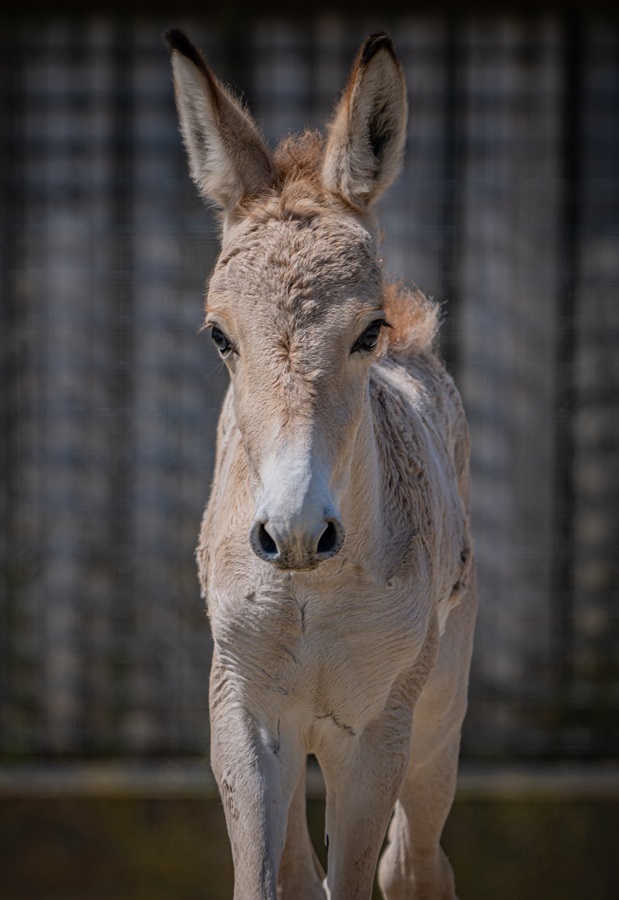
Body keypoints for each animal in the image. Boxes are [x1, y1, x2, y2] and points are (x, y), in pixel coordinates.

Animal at [167, 28, 478, 900]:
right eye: (219, 334)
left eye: (366, 330)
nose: (296, 533)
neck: (312, 592)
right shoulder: (243, 716)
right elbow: (265, 881)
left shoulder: (374, 730)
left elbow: (367, 867)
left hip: (438, 717)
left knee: (414, 863)